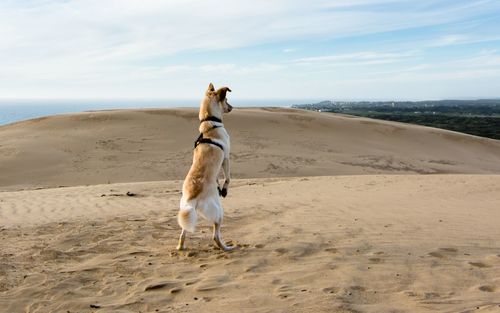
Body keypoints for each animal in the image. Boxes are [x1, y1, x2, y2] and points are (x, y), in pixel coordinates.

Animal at [177, 83, 235, 251]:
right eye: (226, 100)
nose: (232, 107)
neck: (210, 124)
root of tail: (193, 196)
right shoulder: (227, 157)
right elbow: (228, 177)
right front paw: (224, 189)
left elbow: (218, 178)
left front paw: (218, 185)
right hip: (218, 212)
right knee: (215, 236)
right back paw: (227, 247)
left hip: (186, 211)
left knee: (183, 233)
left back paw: (180, 247)